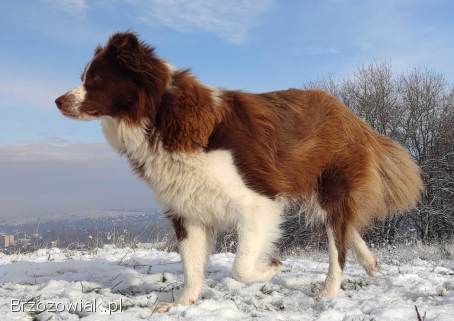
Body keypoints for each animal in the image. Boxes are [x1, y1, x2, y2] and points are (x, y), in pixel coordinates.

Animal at [55, 31, 422, 308]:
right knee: (345, 228)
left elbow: (240, 266)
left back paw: (329, 291)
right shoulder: (186, 209)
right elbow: (192, 265)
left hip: (331, 184)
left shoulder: (258, 201)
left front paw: (271, 266)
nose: (58, 101)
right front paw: (182, 304)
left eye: (96, 79)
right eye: (84, 77)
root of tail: (351, 115)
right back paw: (370, 262)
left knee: (337, 245)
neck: (161, 116)